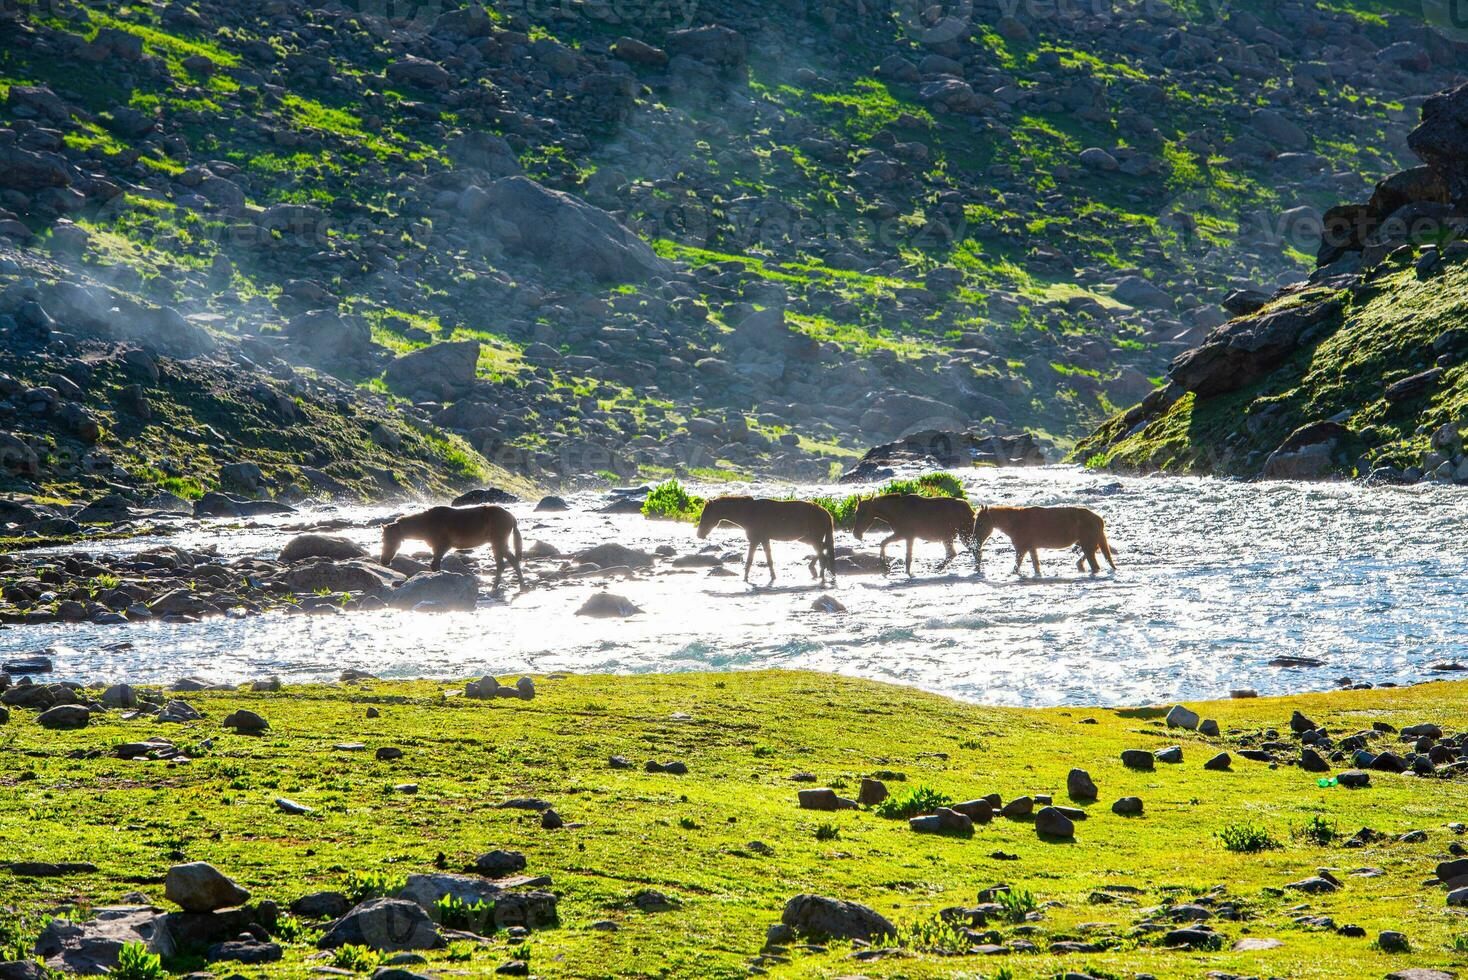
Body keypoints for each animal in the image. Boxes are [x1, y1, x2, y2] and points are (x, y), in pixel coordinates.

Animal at [381, 504, 525, 589]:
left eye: (389, 539)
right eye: (383, 539)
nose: (383, 561)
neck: (427, 523)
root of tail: (512, 518)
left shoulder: (442, 546)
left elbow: (435, 566)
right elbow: (435, 565)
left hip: (498, 543)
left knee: (506, 564)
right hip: (498, 544)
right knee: (508, 563)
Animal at [695, 492, 839, 586]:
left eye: (706, 515)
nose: (699, 534)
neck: (749, 512)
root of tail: (826, 512)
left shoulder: (755, 540)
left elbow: (750, 559)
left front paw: (745, 578)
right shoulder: (764, 540)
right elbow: (769, 560)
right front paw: (773, 577)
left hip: (813, 538)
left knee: (822, 554)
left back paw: (821, 576)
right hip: (807, 538)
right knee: (824, 550)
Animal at [974, 504, 1109, 575]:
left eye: (980, 523)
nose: (975, 541)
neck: (1016, 522)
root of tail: (1099, 519)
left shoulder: (1021, 549)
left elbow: (1016, 568)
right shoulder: (1031, 548)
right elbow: (1036, 566)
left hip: (1087, 545)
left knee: (1095, 565)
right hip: (1086, 543)